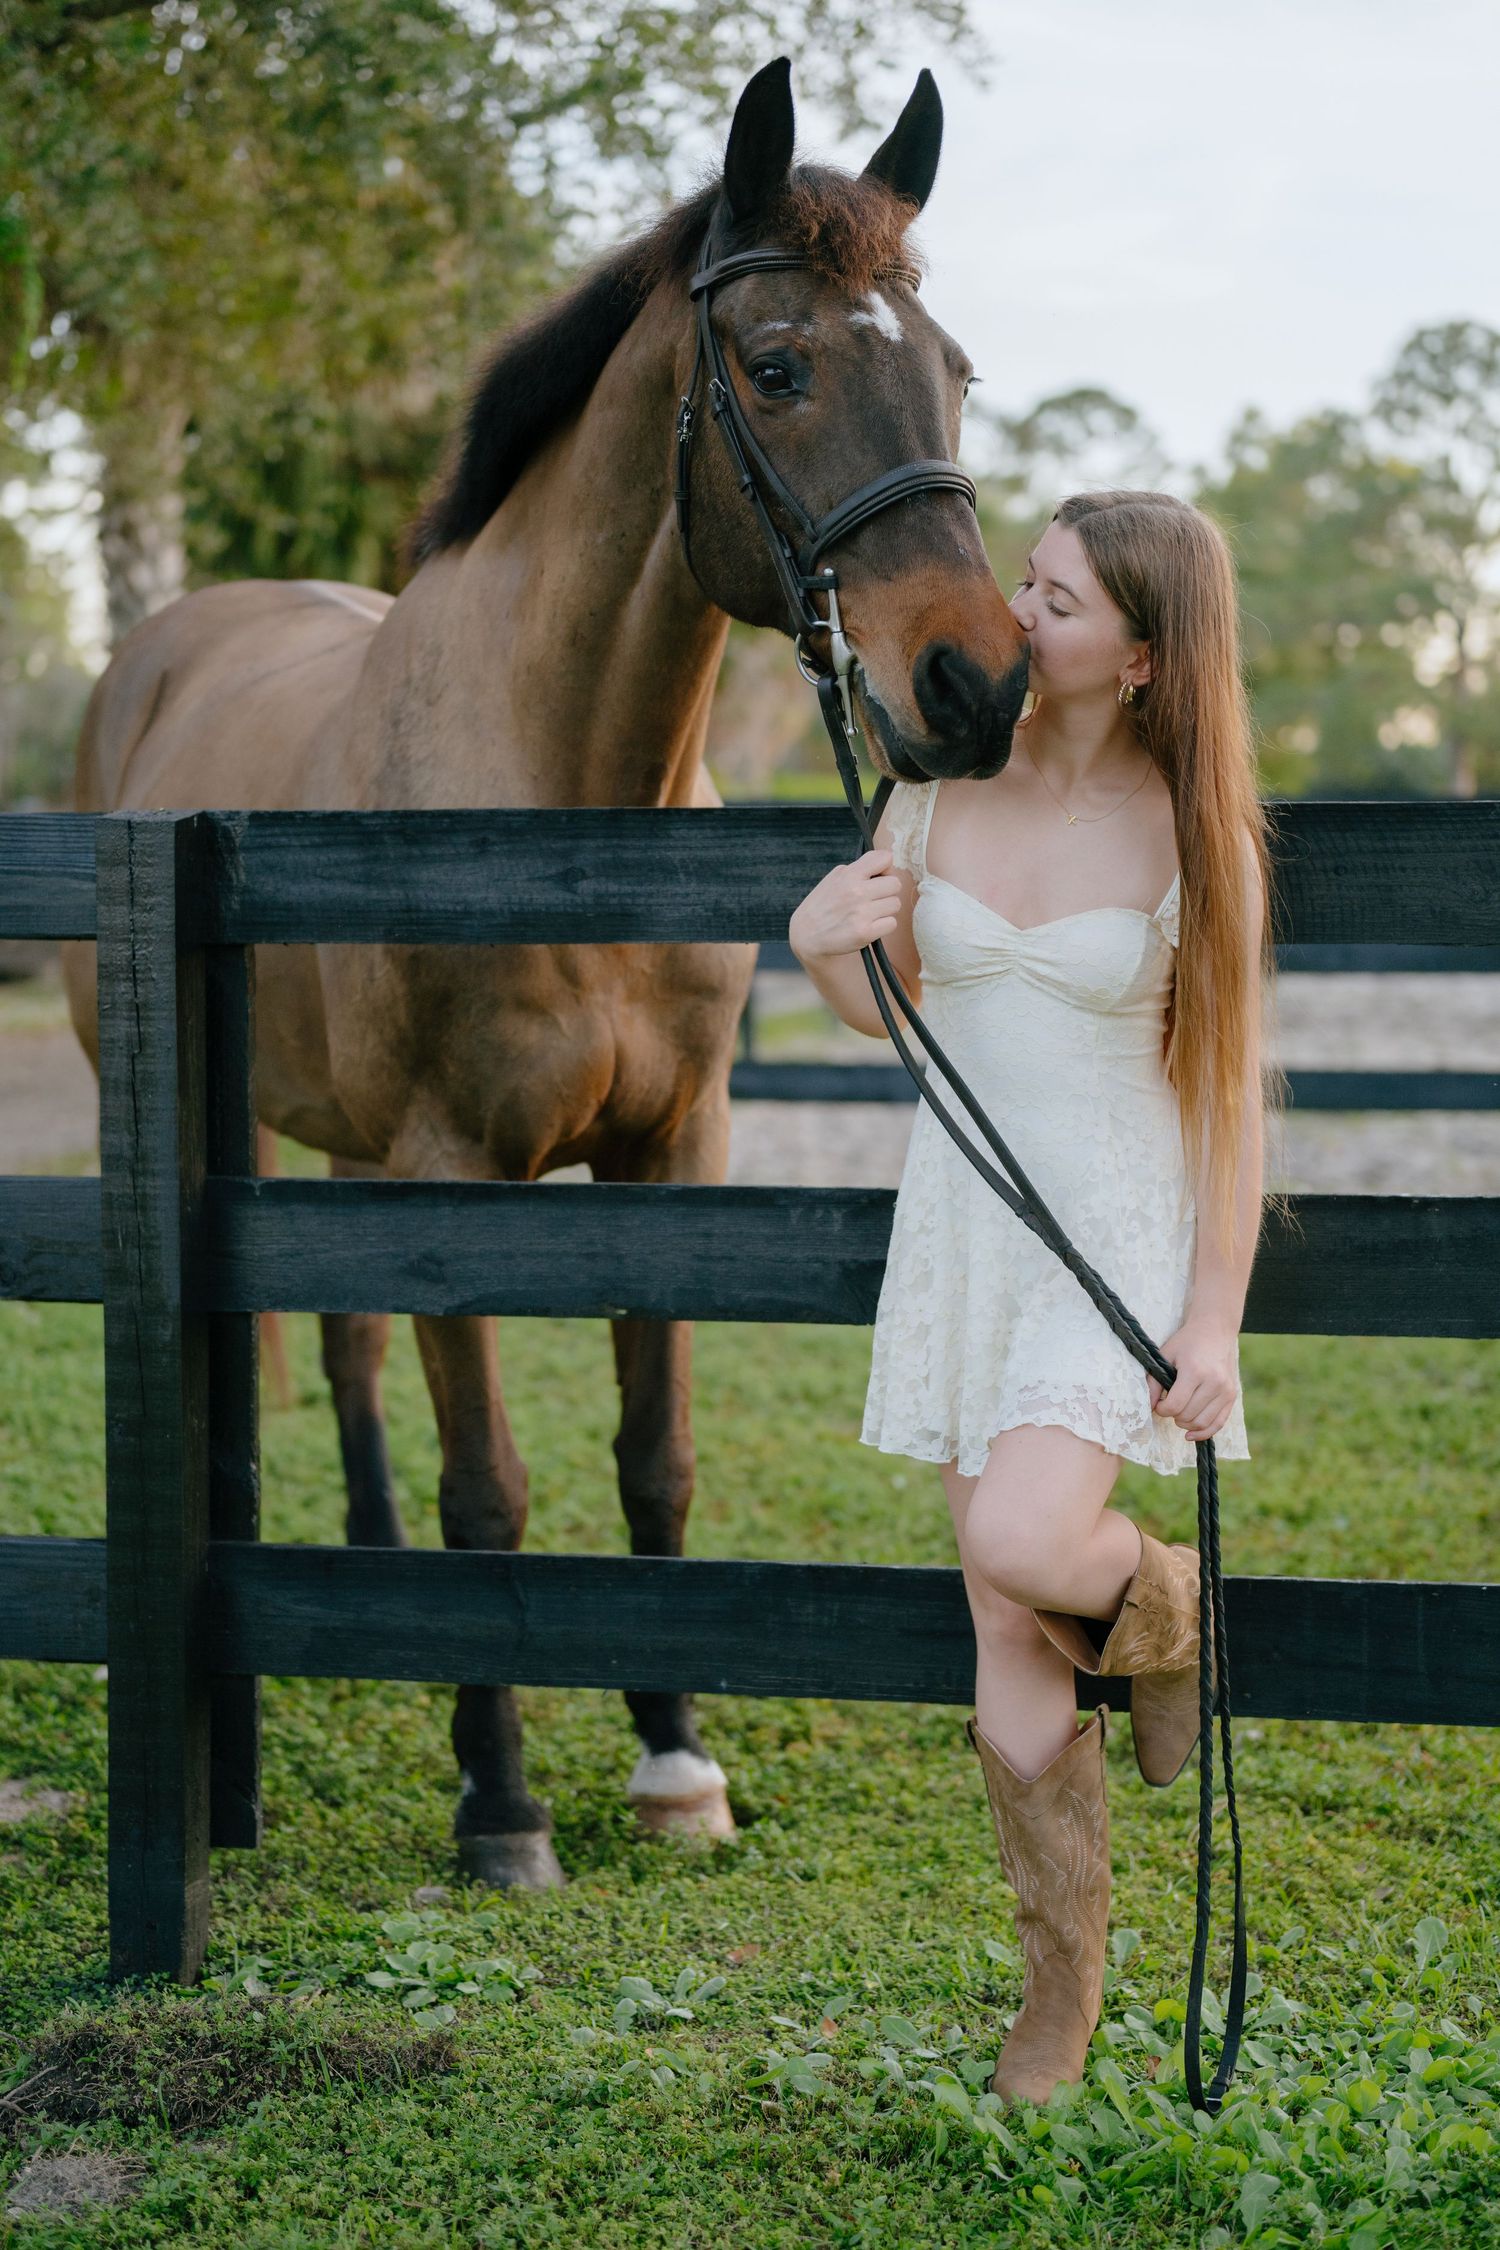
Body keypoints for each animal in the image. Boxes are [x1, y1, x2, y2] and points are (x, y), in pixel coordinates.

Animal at [62, 56, 1030, 1890]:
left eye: (953, 370)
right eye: (779, 368)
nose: (979, 683)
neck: (561, 817)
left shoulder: (672, 1154)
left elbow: (654, 1460)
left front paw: (674, 1758)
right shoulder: (457, 1170)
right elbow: (492, 1490)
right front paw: (500, 1804)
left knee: (351, 1354)